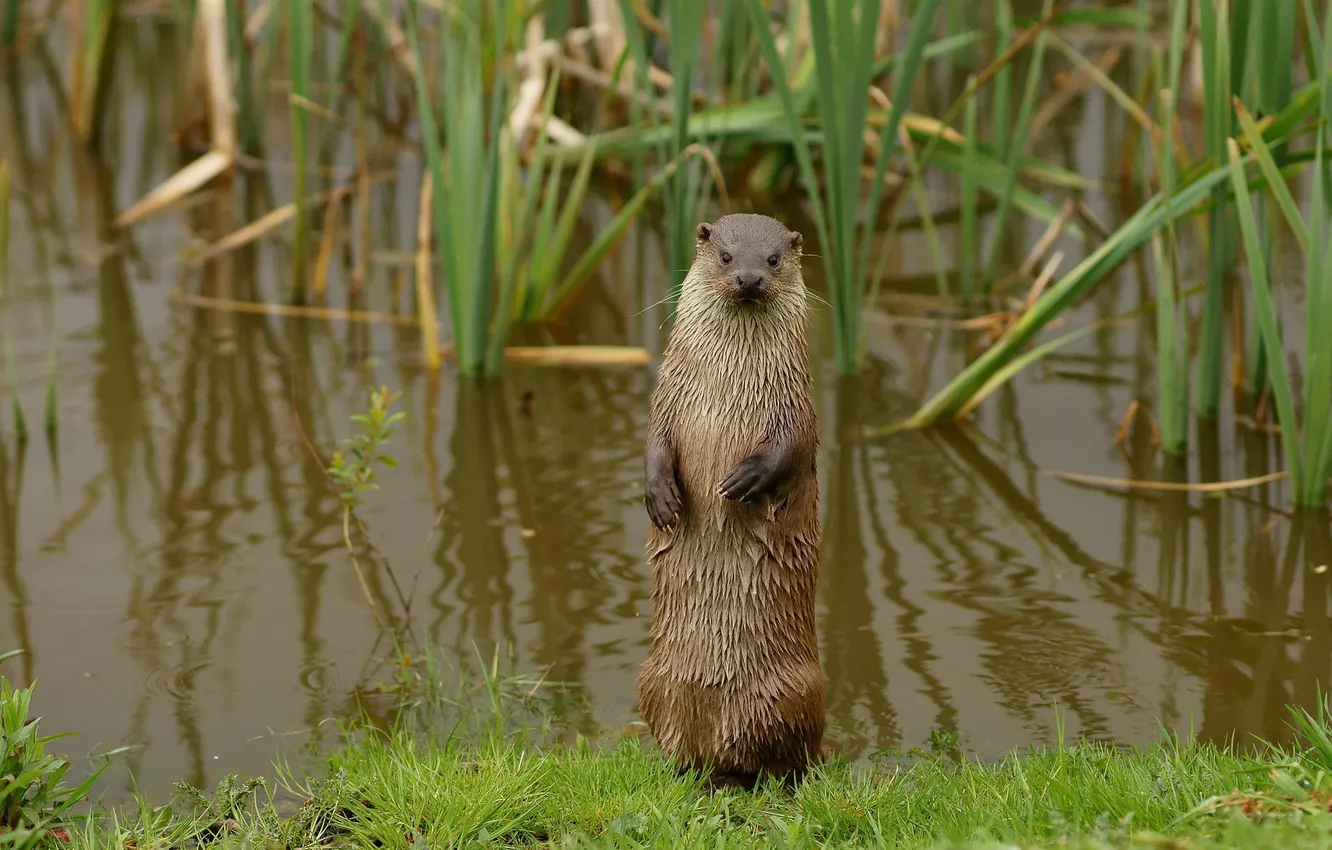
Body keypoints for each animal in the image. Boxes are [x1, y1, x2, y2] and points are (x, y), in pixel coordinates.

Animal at [636, 212, 824, 790]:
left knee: (793, 755)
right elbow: (653, 443)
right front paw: (661, 498)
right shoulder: (666, 396)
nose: (748, 278)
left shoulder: (795, 405)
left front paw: (744, 480)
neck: (726, 382)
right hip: (653, 681)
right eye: (725, 256)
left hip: (795, 693)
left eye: (773, 259)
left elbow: (790, 448)